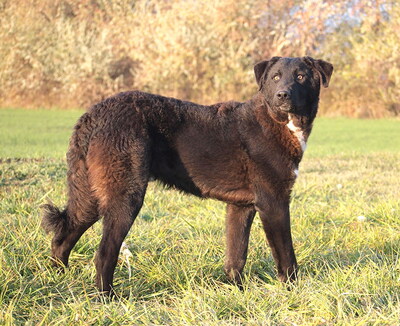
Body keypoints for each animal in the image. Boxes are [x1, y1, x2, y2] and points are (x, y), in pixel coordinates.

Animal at [42, 55, 332, 292]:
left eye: (301, 77)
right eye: (275, 77)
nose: (283, 95)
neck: (278, 123)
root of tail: (93, 114)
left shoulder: (240, 206)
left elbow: (236, 255)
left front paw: (236, 292)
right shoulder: (274, 202)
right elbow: (286, 256)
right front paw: (293, 292)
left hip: (90, 195)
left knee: (63, 236)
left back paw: (58, 279)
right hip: (125, 196)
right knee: (103, 254)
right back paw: (107, 299)